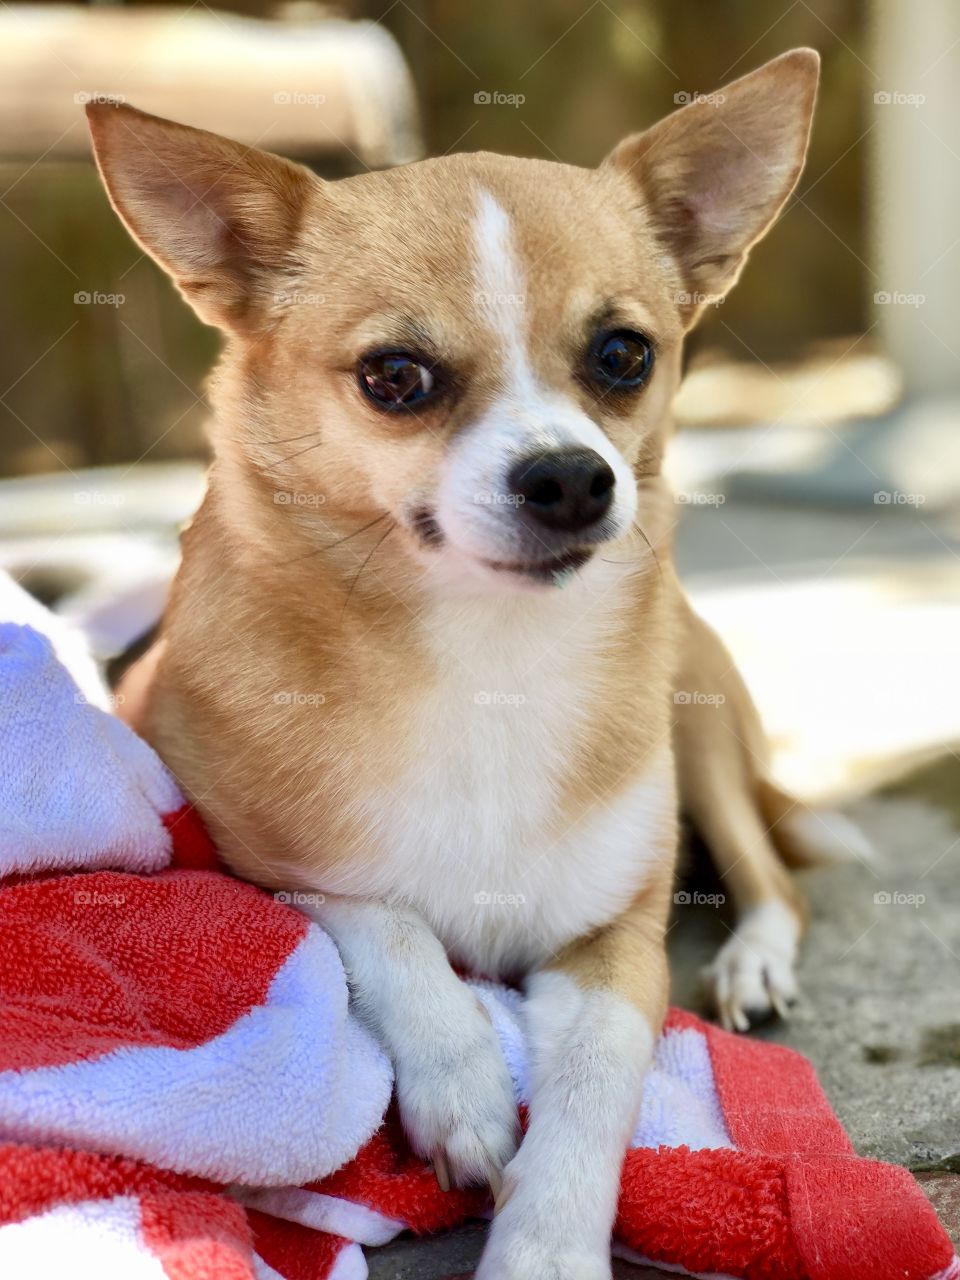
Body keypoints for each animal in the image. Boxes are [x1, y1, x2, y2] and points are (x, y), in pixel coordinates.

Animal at [84, 49, 865, 1280]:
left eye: (624, 355)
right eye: (395, 377)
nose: (572, 476)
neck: (486, 658)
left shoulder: (615, 950)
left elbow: (595, 1089)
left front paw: (544, 1247)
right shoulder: (253, 867)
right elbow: (382, 920)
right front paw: (462, 1087)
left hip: (697, 721)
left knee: (772, 876)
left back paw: (751, 960)